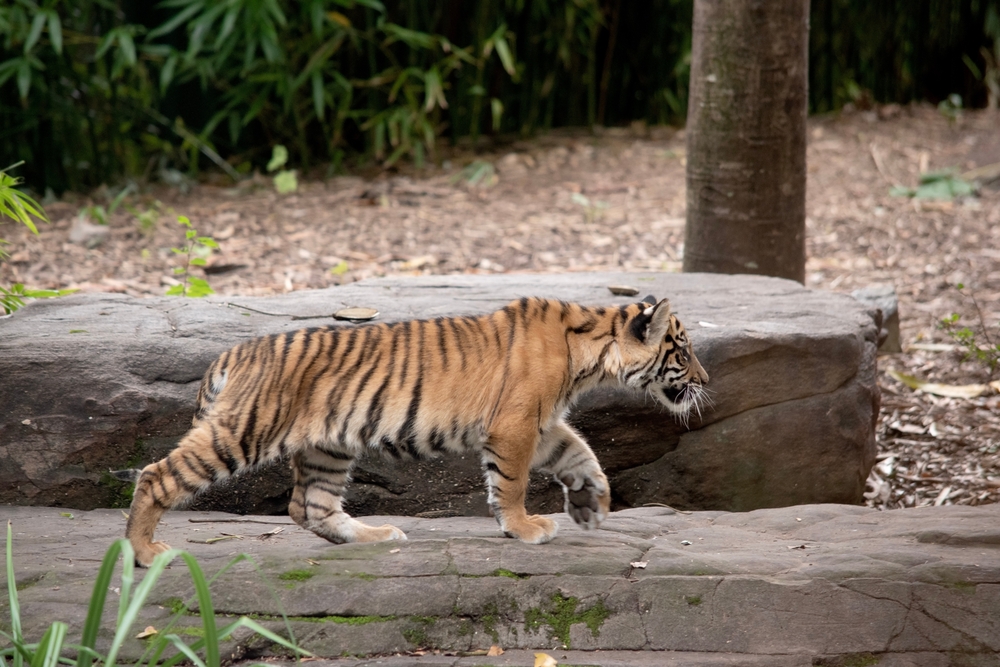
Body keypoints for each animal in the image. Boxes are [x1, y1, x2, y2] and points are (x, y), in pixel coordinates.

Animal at [124, 294, 709, 566]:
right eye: (682, 352)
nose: (706, 381)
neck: (592, 348)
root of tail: (233, 353)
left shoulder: (540, 424)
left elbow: (580, 453)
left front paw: (591, 503)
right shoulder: (516, 424)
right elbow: (513, 483)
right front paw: (524, 528)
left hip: (327, 446)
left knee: (309, 507)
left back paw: (377, 535)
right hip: (245, 429)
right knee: (156, 475)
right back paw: (146, 553)